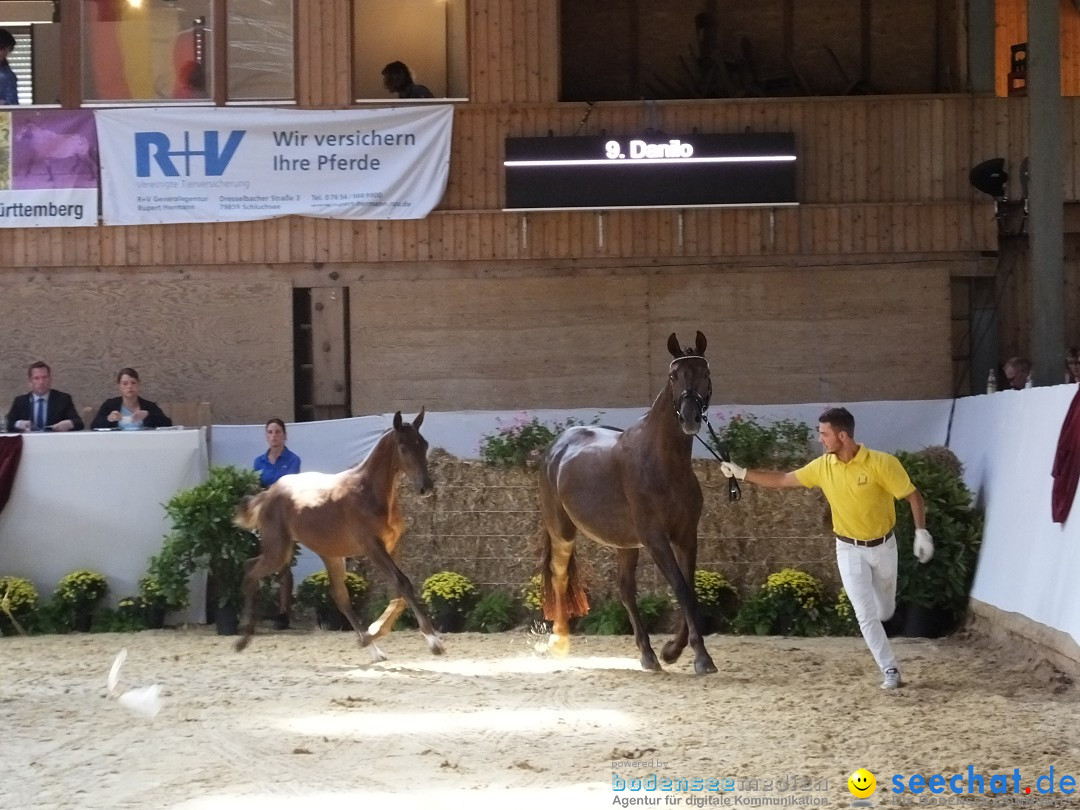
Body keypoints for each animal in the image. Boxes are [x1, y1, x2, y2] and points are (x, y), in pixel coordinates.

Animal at [233, 408, 442, 660]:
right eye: (403, 447)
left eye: (424, 444)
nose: (426, 486)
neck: (369, 492)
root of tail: (268, 493)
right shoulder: (372, 548)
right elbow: (403, 583)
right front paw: (434, 641)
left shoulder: (393, 546)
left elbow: (401, 589)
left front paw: (377, 629)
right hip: (279, 550)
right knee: (251, 571)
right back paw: (242, 639)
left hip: (327, 554)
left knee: (339, 596)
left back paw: (371, 647)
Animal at [537, 332, 717, 673]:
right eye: (673, 376)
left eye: (705, 373)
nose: (689, 417)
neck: (663, 463)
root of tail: (557, 446)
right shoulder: (656, 539)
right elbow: (680, 588)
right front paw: (701, 657)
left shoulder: (686, 536)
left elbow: (689, 590)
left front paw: (671, 651)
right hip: (562, 534)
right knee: (559, 576)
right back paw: (560, 641)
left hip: (624, 544)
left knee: (625, 590)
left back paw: (648, 654)